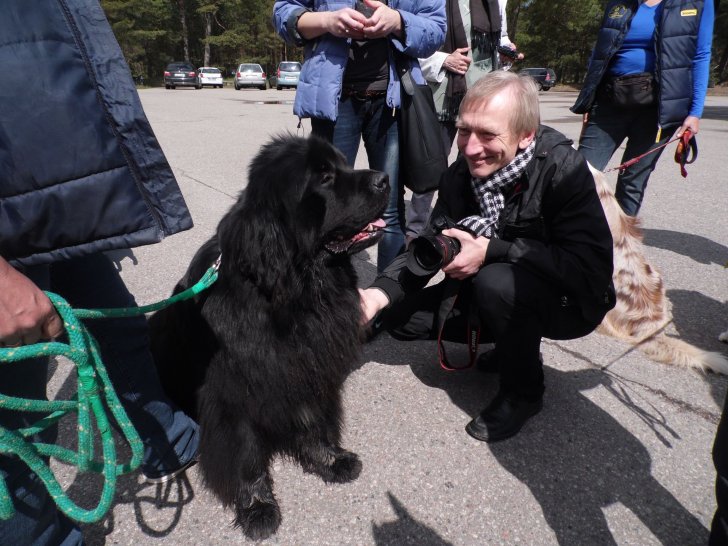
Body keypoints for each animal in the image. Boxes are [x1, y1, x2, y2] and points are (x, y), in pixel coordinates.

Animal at [149, 134, 389, 540]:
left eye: (343, 163)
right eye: (324, 177)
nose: (385, 178)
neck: (294, 293)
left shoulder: (307, 365)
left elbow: (314, 420)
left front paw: (330, 459)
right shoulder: (233, 391)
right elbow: (246, 455)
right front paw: (258, 507)